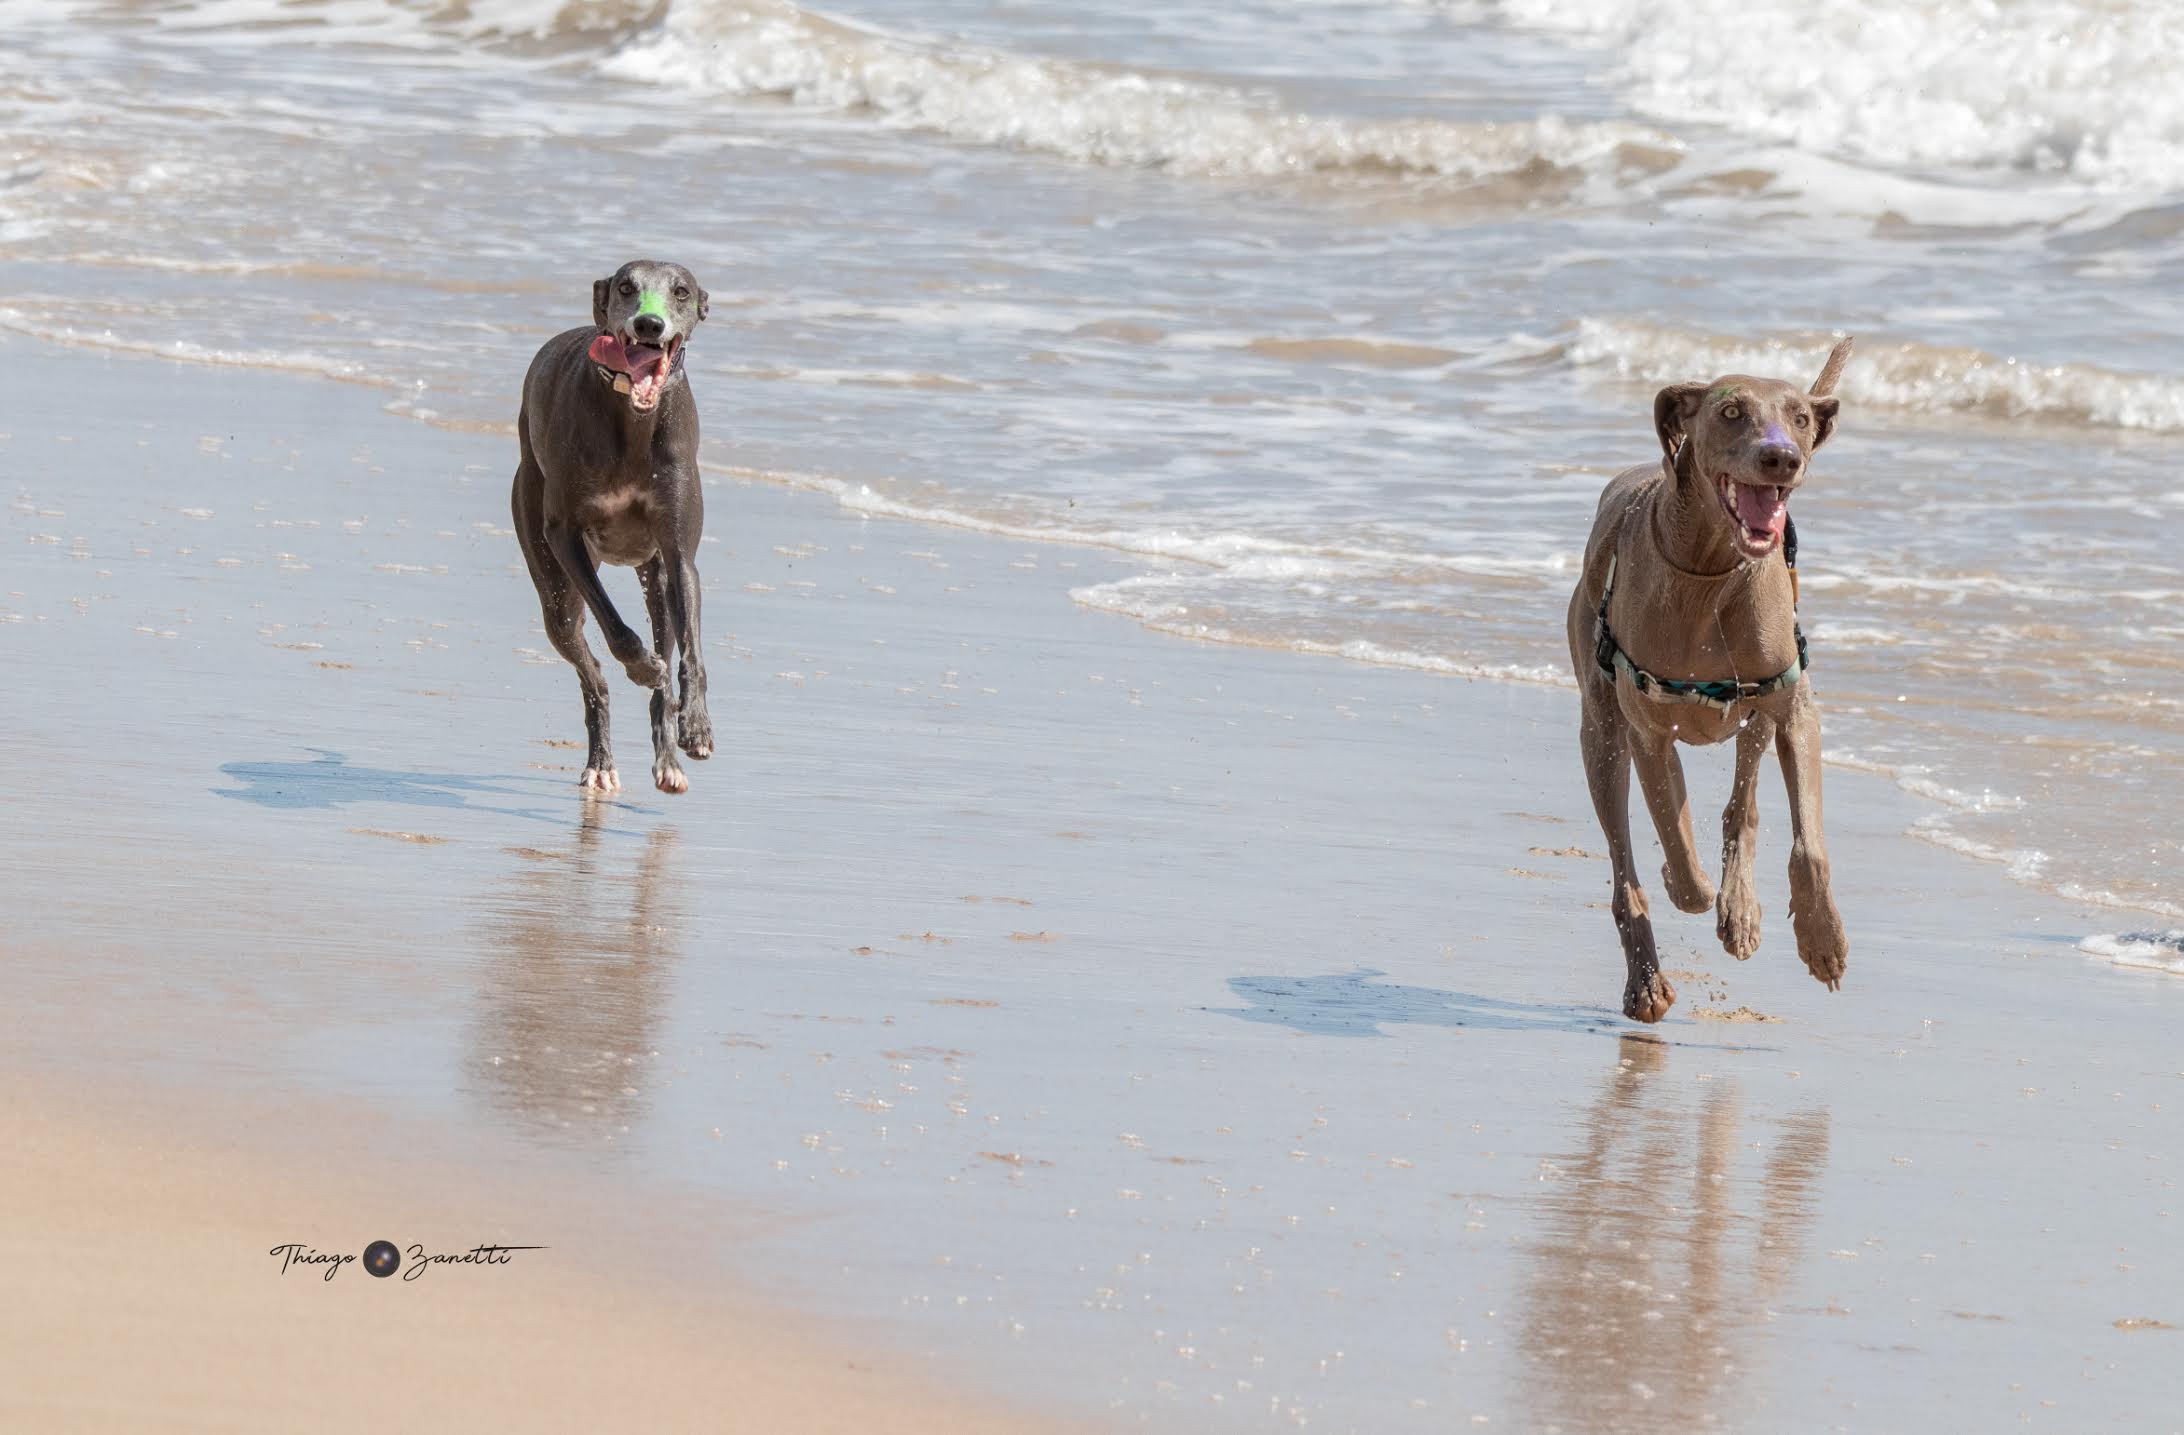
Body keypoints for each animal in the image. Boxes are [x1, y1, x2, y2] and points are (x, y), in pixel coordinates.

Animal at [513, 257, 711, 795]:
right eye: (626, 287)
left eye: (681, 292)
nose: (649, 325)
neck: (632, 419)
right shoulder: (563, 537)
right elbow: (617, 631)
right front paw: (642, 667)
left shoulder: (680, 554)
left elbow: (690, 653)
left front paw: (696, 725)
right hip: (553, 587)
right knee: (593, 673)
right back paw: (601, 761)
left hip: (654, 575)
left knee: (666, 636)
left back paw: (668, 758)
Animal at [1563, 340, 1852, 1022]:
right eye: (1730, 411)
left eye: (1800, 415)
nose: (1782, 457)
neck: (1711, 572)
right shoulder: (1647, 729)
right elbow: (1678, 850)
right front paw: (1683, 883)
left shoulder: (1793, 706)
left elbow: (1808, 845)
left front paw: (1822, 939)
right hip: (1600, 733)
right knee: (1624, 862)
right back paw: (1646, 980)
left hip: (1755, 715)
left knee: (1741, 806)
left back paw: (1740, 909)